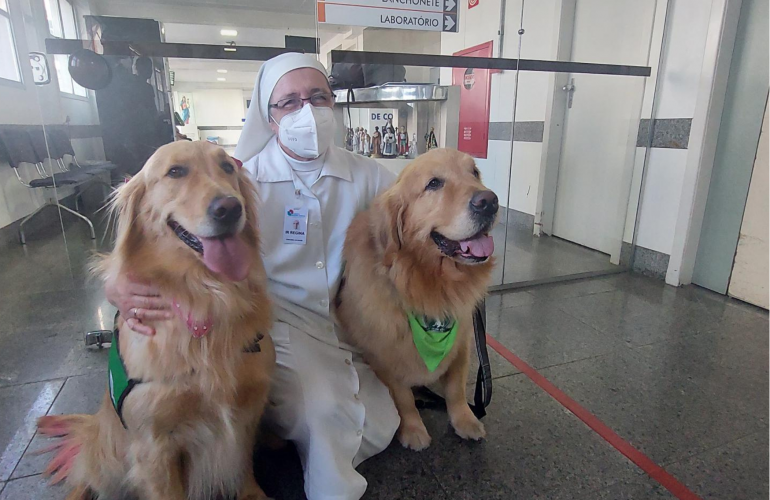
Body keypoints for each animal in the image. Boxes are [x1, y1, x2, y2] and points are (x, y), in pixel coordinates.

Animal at [37, 141, 275, 500]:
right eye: (175, 171)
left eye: (227, 168)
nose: (230, 208)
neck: (206, 296)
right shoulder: (154, 446)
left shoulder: (247, 413)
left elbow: (243, 470)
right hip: (107, 451)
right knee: (87, 473)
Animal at [335, 148, 497, 451]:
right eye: (434, 184)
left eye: (475, 173)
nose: (489, 202)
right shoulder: (384, 353)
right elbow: (403, 397)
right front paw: (413, 429)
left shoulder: (463, 342)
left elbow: (456, 389)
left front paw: (465, 420)